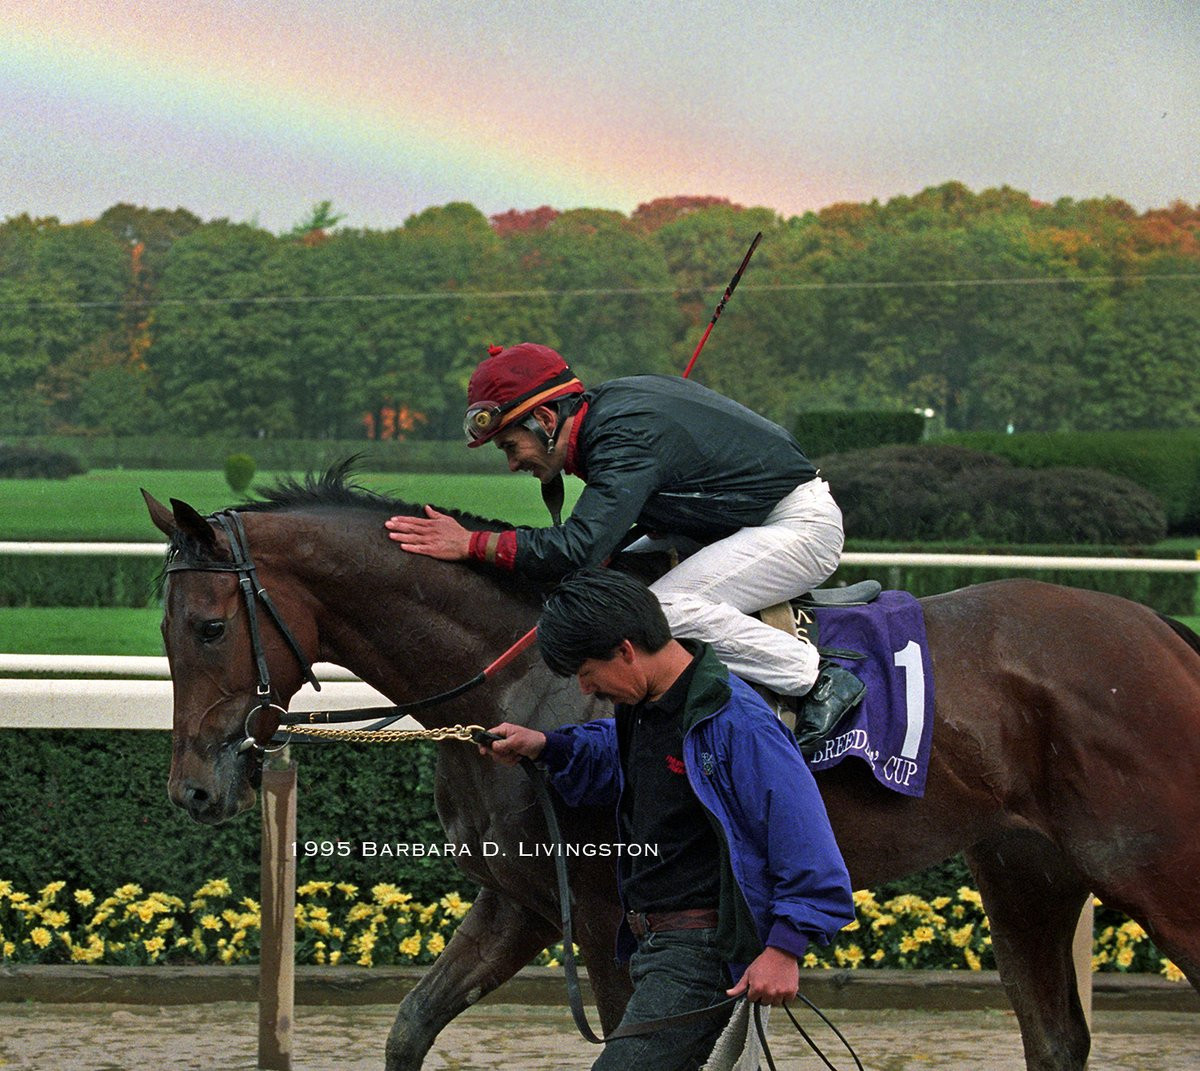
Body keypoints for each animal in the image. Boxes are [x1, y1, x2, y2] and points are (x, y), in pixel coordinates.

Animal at [142, 468, 1200, 1071]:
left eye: (207, 626)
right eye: (164, 627)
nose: (193, 787)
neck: (522, 668)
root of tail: (1162, 631)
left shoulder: (615, 916)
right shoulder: (524, 901)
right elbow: (409, 1027)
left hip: (1155, 871)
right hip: (1027, 873)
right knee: (1055, 1040)